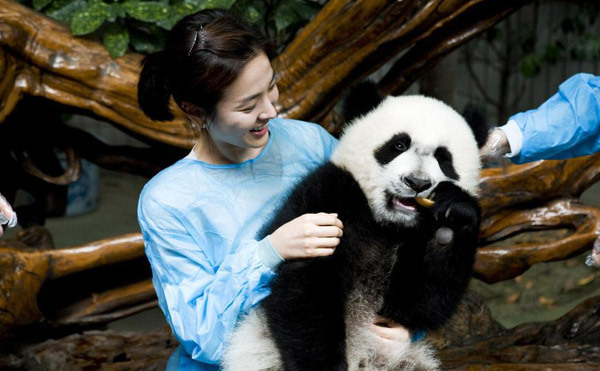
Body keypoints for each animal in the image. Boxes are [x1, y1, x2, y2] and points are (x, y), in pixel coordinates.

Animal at [223, 83, 490, 370]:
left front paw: (451, 218)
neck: (389, 224)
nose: (417, 182)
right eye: (398, 145)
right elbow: (306, 287)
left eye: (443, 158)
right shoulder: (329, 196)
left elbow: (422, 303)